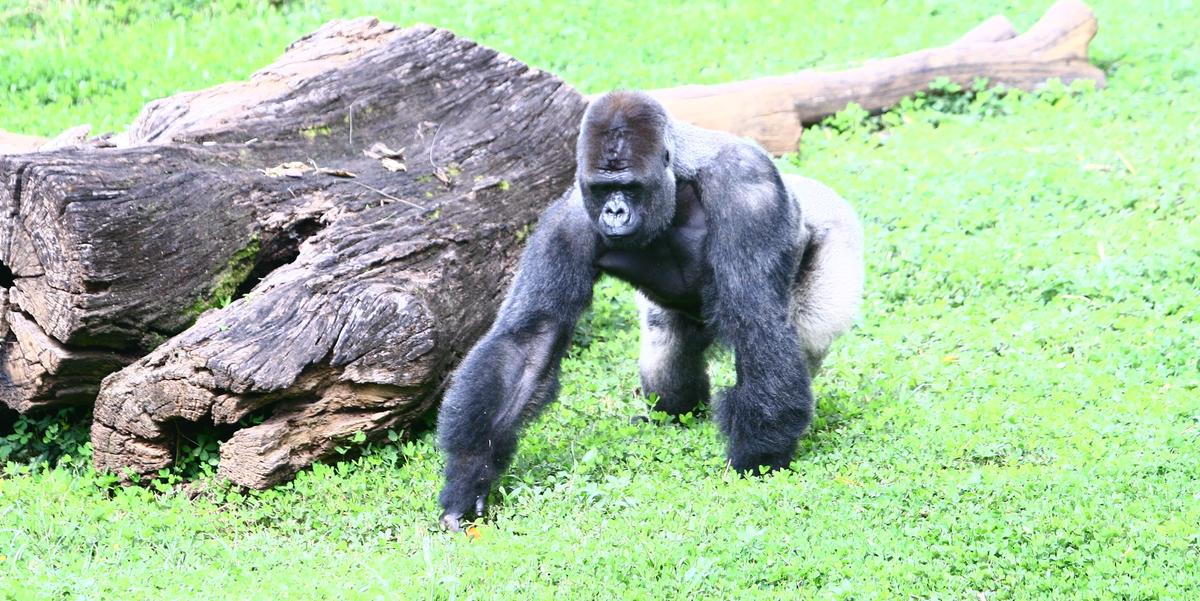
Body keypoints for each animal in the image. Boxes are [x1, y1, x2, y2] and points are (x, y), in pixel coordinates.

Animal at [436, 88, 868, 530]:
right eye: (603, 189)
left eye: (629, 186)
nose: (614, 212)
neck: (677, 180)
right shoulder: (567, 220)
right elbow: (531, 338)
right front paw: (470, 473)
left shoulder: (748, 189)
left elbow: (756, 320)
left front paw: (758, 456)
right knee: (665, 346)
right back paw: (677, 412)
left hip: (838, 236)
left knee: (804, 333)